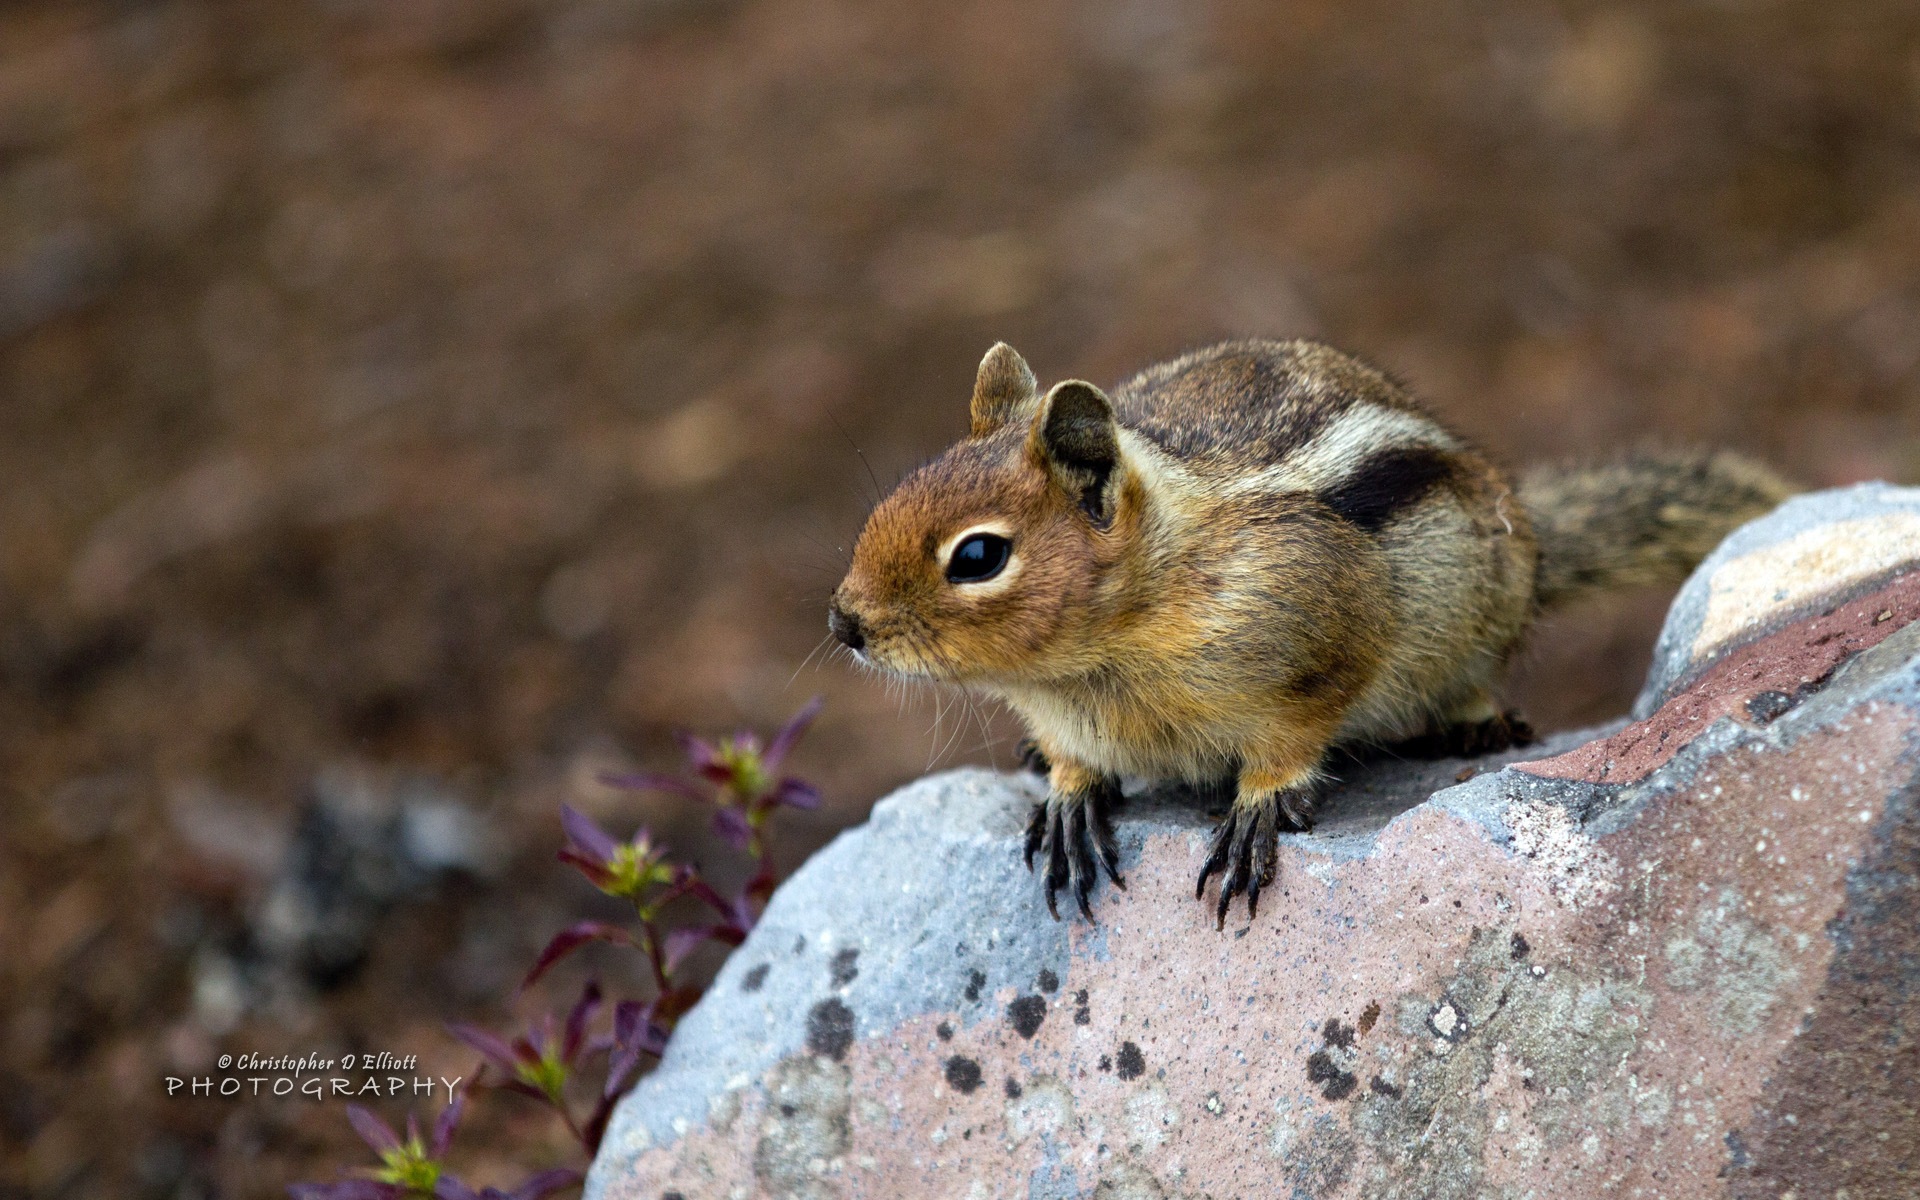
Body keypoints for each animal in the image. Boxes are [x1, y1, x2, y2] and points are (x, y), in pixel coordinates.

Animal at [829, 341, 1797, 921]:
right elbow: (1073, 760)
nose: (843, 623)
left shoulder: (1320, 633)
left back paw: (1473, 721)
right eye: (893, 495)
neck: (1094, 665)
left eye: (978, 556)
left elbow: (1298, 731)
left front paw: (1258, 806)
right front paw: (1068, 793)